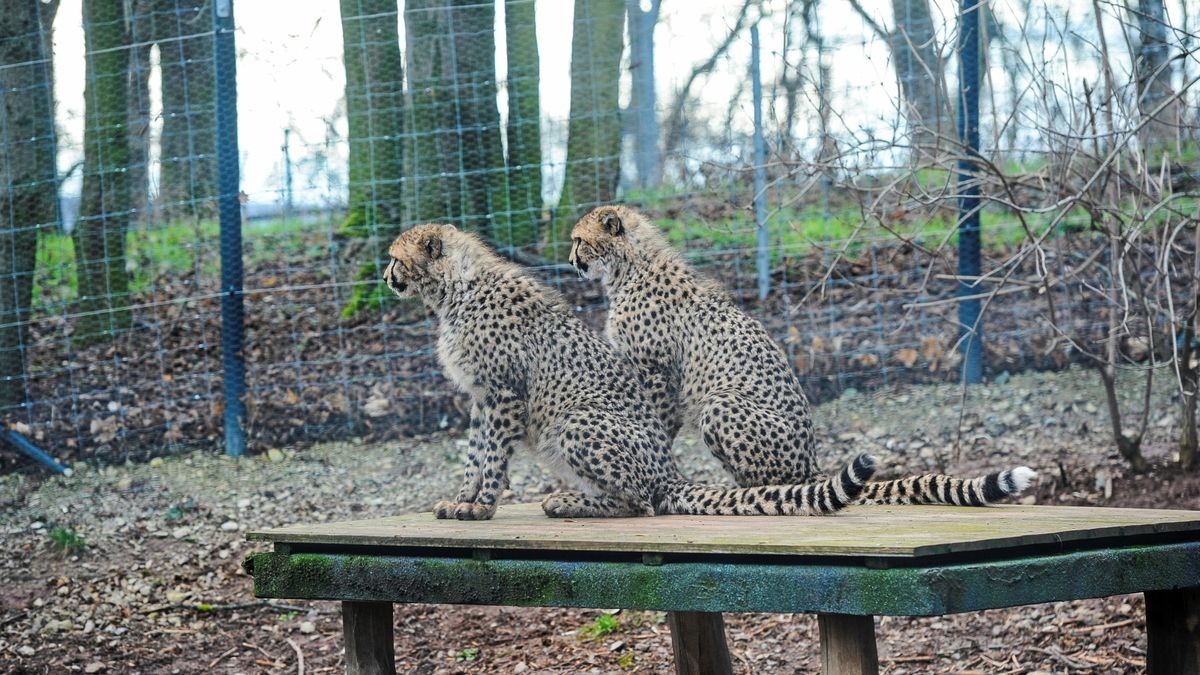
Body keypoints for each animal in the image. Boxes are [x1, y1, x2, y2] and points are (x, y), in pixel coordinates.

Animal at [388, 223, 878, 516]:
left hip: (580, 421)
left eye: (395, 257)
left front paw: (482, 507)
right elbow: (474, 454)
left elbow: (491, 458)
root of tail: (670, 472)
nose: (386, 277)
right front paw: (461, 500)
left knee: (643, 503)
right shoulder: (481, 397)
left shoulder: (504, 393)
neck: (454, 290)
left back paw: (571, 502)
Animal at [566, 205, 1036, 504]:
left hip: (720, 405)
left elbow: (658, 426)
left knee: (770, 480)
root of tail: (811, 464)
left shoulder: (657, 372)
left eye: (578, 241)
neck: (628, 267)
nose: (569, 261)